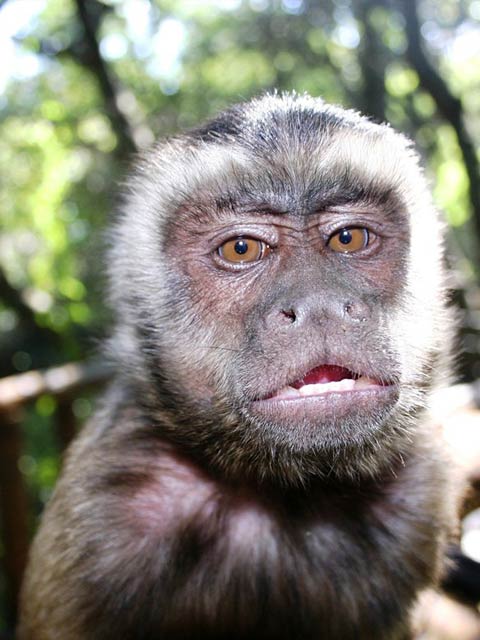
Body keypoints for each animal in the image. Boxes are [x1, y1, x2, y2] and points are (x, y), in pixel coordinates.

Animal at [18, 93, 460, 640]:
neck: (287, 494)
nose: (318, 305)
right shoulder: (102, 523)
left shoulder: (421, 496)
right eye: (242, 248)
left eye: (349, 238)